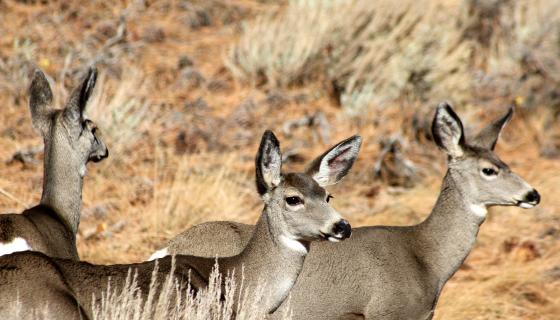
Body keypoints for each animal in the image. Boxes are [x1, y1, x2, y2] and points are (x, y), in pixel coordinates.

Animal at [153, 104, 540, 318]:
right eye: (489, 170)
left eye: (504, 162)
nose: (533, 194)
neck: (425, 256)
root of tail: (167, 247)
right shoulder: (386, 311)